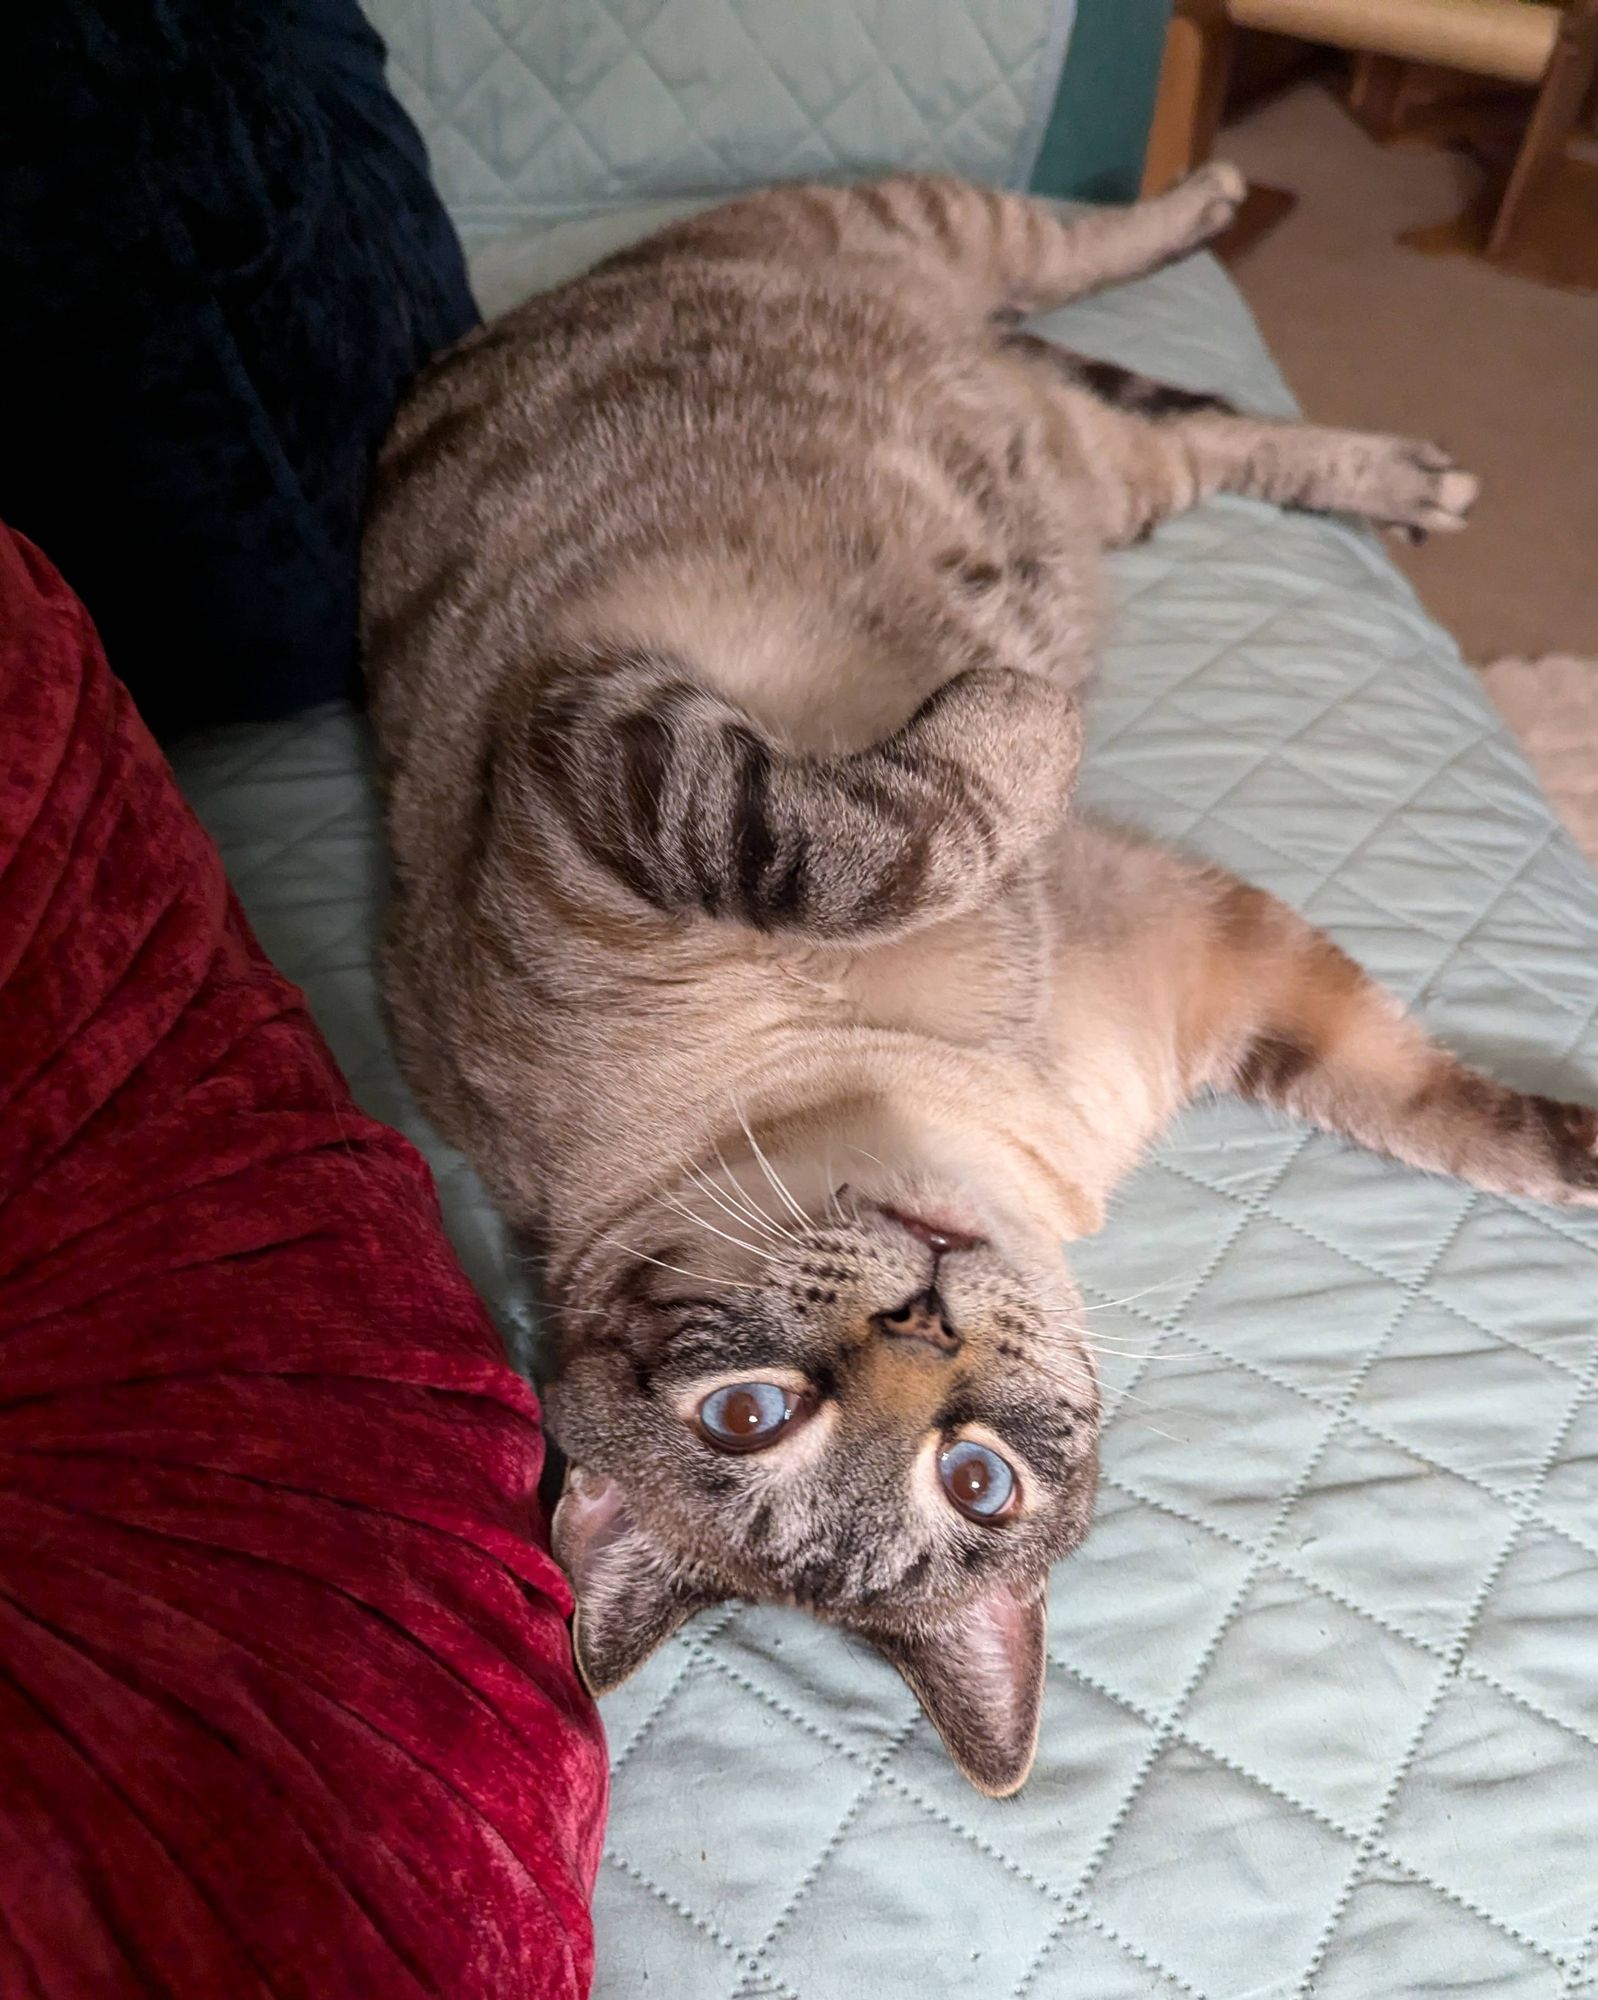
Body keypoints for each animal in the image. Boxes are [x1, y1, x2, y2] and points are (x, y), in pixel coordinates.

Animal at [366, 168, 1598, 1800]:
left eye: (975, 1478)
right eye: (748, 1416)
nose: (926, 1322)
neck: (929, 1086)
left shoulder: (606, 771)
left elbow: (855, 841)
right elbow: (866, 837)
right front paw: (1026, 721)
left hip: (927, 242)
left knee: (1090, 269)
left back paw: (1251, 265)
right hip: (1079, 454)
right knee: (1169, 430)